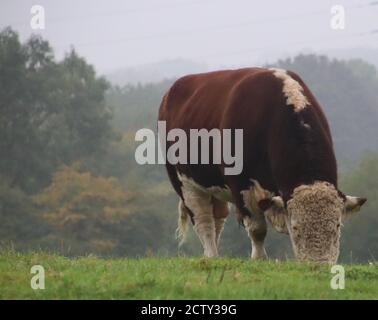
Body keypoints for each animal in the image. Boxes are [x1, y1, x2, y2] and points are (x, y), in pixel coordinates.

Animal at [159, 67, 366, 262]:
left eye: (337, 226)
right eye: (296, 227)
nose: (319, 265)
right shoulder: (242, 186)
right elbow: (257, 229)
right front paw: (259, 258)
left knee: (217, 219)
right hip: (185, 184)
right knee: (203, 221)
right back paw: (211, 255)